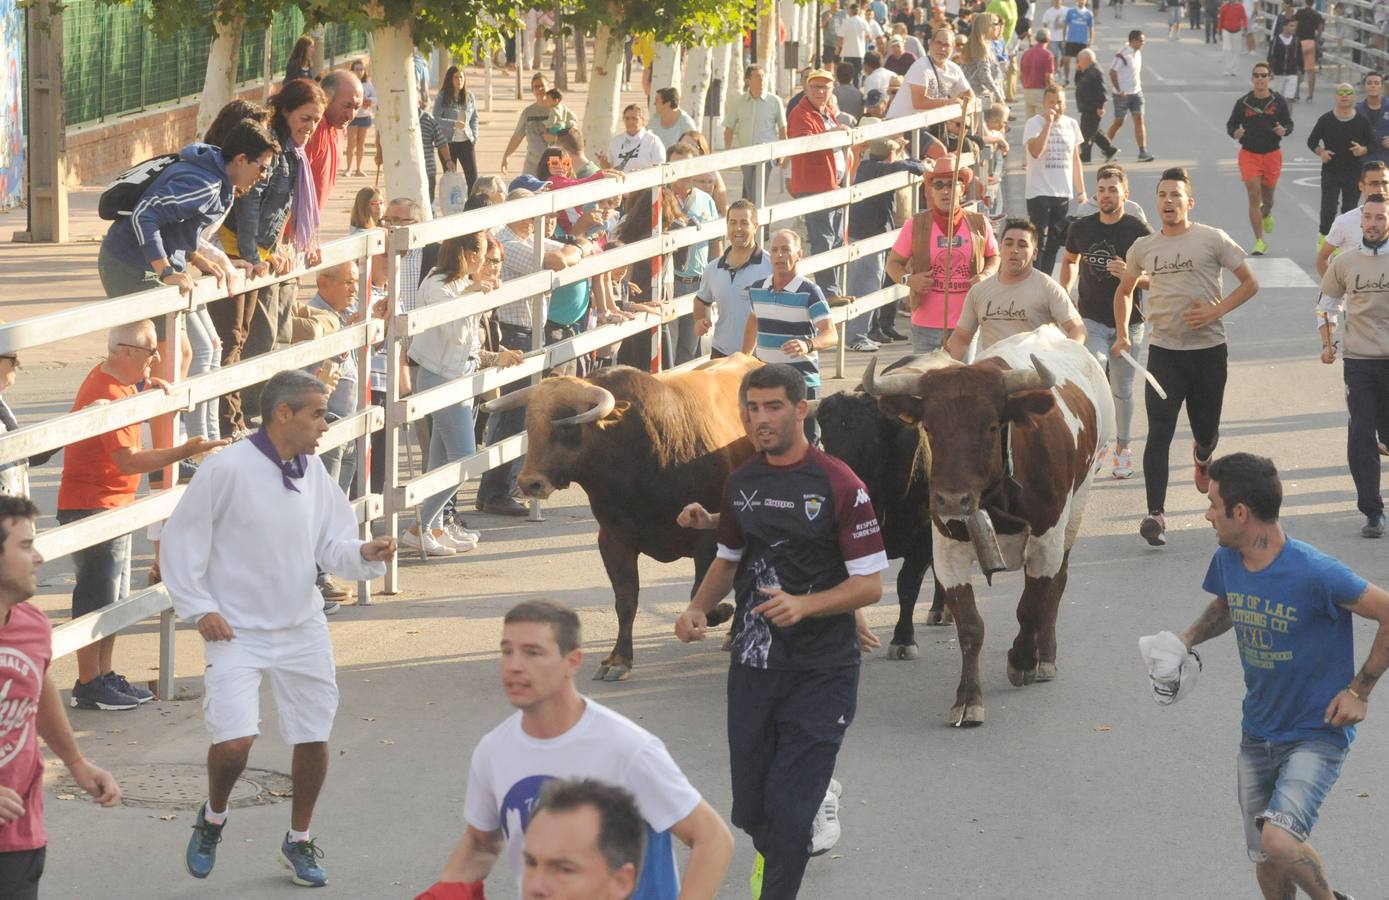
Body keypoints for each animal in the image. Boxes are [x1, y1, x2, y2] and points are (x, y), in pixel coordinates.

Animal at [480, 351, 761, 683]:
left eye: (565, 426)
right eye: (530, 423)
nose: (529, 483)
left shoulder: (708, 539)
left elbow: (700, 592)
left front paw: (722, 612)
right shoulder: (613, 541)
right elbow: (626, 601)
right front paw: (619, 658)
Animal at [861, 326, 1111, 727]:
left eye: (991, 426)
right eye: (930, 428)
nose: (951, 500)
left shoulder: (1046, 541)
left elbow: (1031, 606)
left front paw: (1022, 661)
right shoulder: (946, 548)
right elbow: (969, 626)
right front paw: (967, 699)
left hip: (1077, 509)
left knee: (1057, 585)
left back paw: (1045, 656)